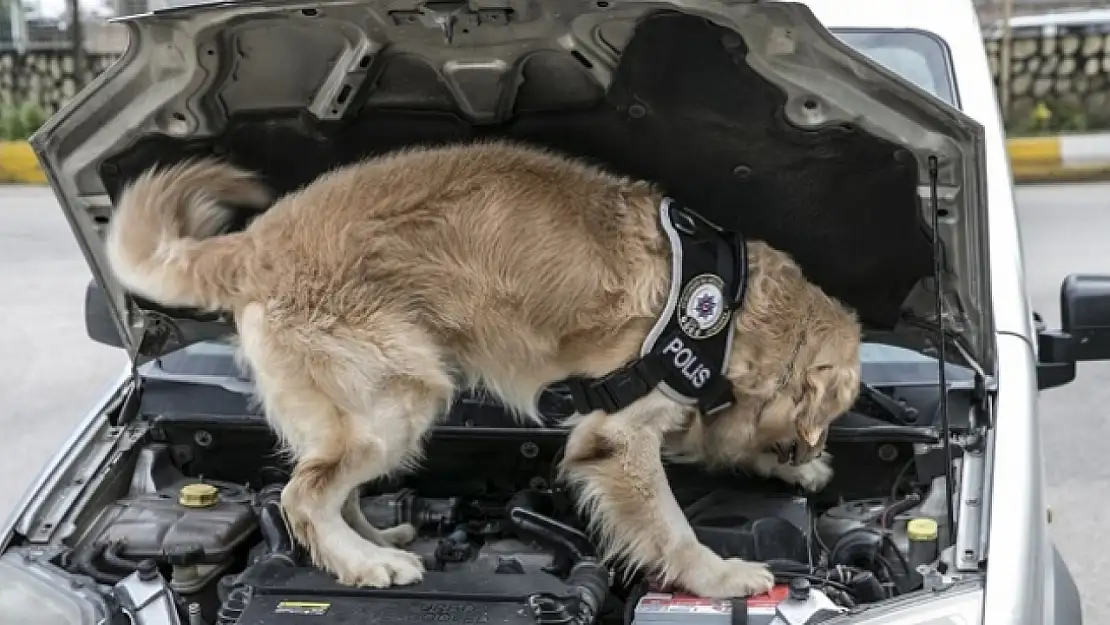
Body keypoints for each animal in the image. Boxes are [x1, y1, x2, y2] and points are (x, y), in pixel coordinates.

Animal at [104, 140, 861, 595]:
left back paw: (378, 539)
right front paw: (721, 575)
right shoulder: (619, 435)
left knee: (328, 485)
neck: (729, 302)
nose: (811, 447)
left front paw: (799, 470)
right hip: (401, 396)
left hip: (369, 407)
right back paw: (366, 563)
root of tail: (253, 241)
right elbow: (671, 525)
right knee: (301, 496)